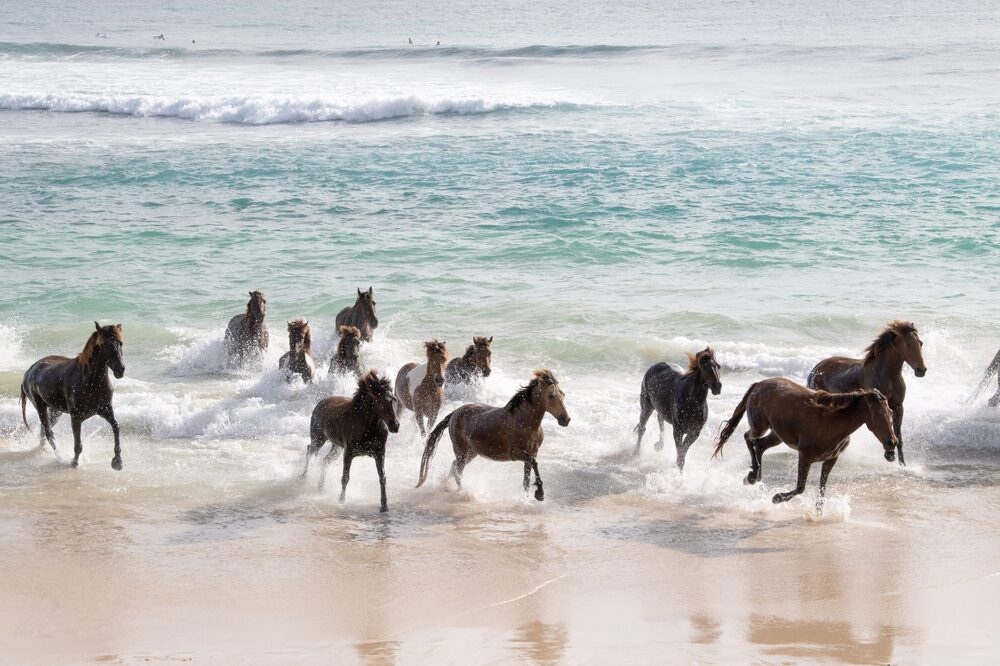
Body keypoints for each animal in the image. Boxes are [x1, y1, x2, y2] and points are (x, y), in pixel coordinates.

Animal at [20, 322, 126, 469]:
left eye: (120, 343)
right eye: (105, 345)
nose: (120, 370)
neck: (90, 382)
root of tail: (29, 371)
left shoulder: (105, 409)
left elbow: (116, 427)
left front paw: (117, 461)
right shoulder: (76, 417)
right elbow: (78, 445)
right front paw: (74, 462)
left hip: (55, 411)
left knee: (44, 431)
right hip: (40, 407)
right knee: (48, 433)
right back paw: (59, 457)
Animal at [302, 370, 400, 512]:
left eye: (393, 400)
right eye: (379, 401)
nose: (395, 426)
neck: (367, 428)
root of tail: (320, 403)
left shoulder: (379, 453)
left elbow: (382, 478)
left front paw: (384, 505)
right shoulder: (348, 452)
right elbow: (345, 477)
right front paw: (341, 500)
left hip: (336, 447)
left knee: (325, 460)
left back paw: (320, 487)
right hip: (318, 438)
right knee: (310, 450)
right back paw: (303, 476)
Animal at [416, 369, 570, 501]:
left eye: (563, 394)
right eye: (551, 396)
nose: (566, 419)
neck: (525, 422)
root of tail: (455, 412)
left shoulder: (533, 452)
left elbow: (526, 480)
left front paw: (527, 499)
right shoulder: (517, 453)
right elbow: (534, 463)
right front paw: (540, 494)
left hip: (472, 453)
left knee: (454, 467)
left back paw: (447, 485)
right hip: (461, 451)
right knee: (458, 471)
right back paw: (464, 492)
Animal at [713, 377, 898, 508]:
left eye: (890, 412)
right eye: (878, 414)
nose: (892, 443)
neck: (832, 422)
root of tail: (758, 384)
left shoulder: (831, 460)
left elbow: (822, 489)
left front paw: (818, 512)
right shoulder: (805, 456)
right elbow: (801, 487)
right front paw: (777, 498)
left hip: (777, 435)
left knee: (759, 446)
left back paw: (754, 476)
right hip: (760, 426)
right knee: (749, 438)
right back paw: (752, 476)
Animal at [806, 320, 925, 466]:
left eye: (920, 343)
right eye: (908, 344)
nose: (921, 370)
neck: (887, 376)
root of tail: (815, 369)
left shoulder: (898, 407)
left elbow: (899, 436)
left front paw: (902, 464)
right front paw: (889, 455)